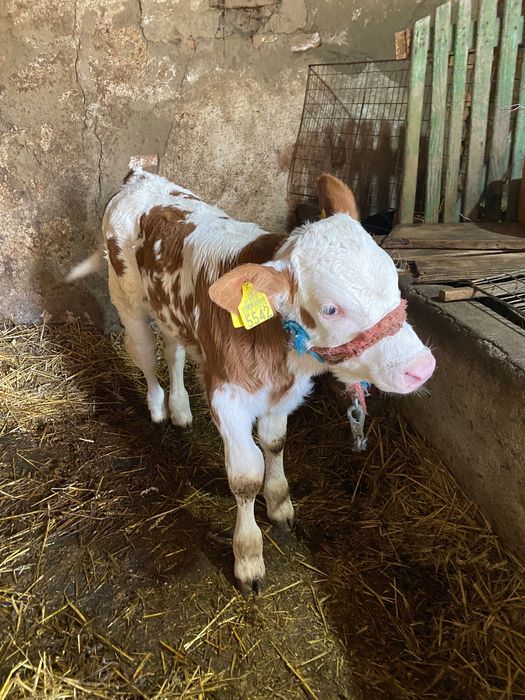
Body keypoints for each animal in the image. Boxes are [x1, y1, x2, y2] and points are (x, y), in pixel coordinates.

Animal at [68, 169, 435, 593]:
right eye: (331, 309)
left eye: (394, 278)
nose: (421, 366)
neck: (280, 353)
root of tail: (139, 175)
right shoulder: (228, 398)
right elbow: (245, 477)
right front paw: (248, 558)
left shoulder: (283, 395)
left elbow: (275, 444)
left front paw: (280, 505)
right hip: (126, 295)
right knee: (143, 352)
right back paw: (158, 408)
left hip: (171, 311)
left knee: (174, 352)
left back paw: (180, 410)